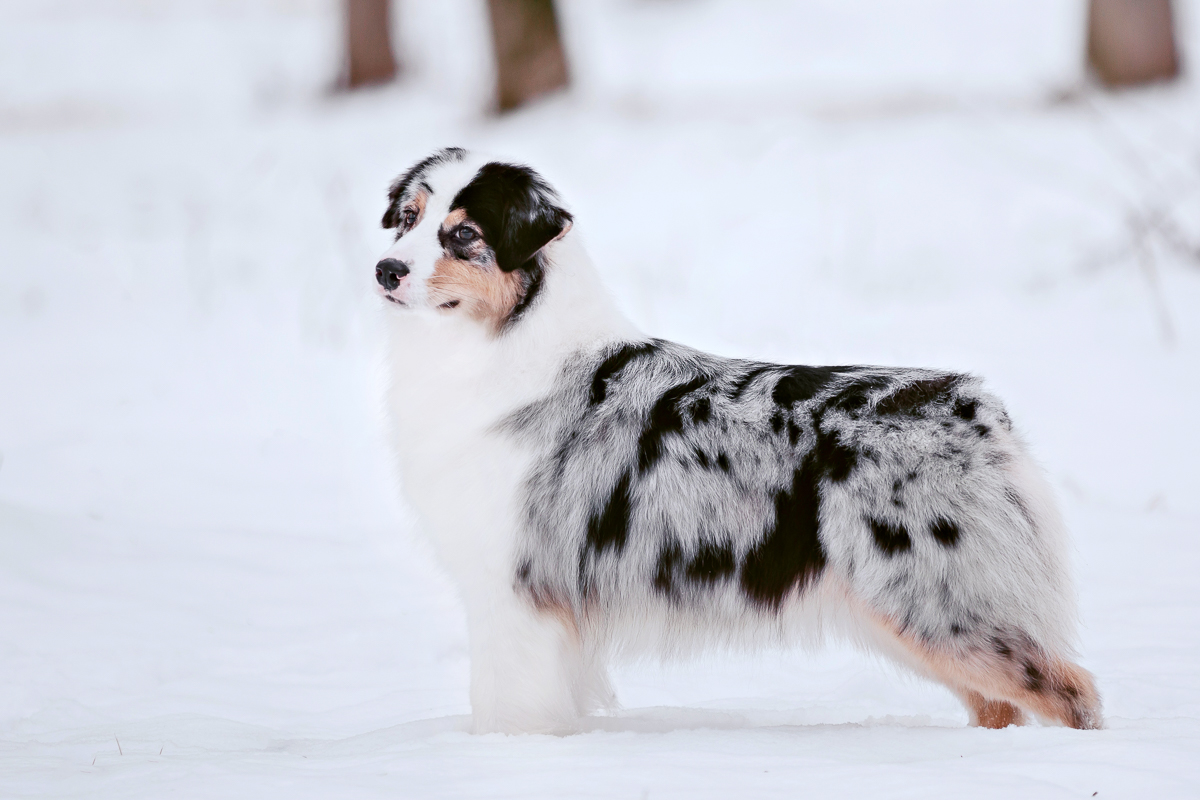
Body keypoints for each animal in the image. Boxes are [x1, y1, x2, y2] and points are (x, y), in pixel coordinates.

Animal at [374, 146, 1099, 734]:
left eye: (463, 234)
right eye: (407, 218)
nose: (384, 269)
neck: (496, 346)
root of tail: (977, 407)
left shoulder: (513, 589)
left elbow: (505, 707)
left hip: (940, 602)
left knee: (1074, 693)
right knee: (1002, 705)